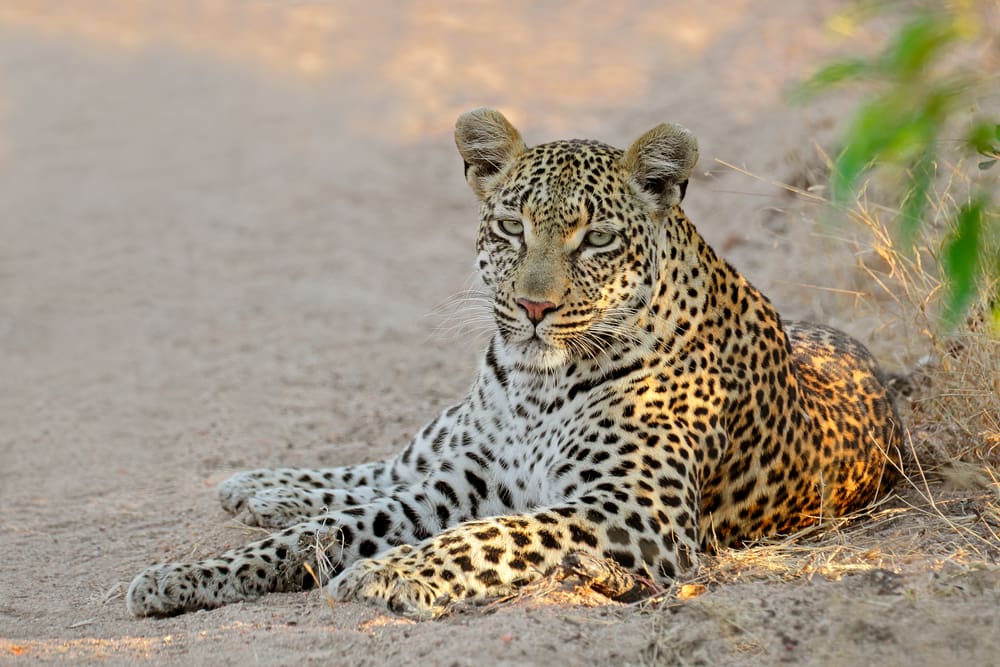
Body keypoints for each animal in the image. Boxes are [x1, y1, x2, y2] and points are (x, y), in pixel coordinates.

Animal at [127, 108, 904, 618]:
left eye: (596, 240)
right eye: (510, 227)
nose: (532, 307)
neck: (538, 386)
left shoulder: (629, 510)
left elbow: (491, 534)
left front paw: (387, 575)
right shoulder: (456, 484)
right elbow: (326, 530)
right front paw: (178, 577)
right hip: (446, 444)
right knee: (377, 468)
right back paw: (257, 487)